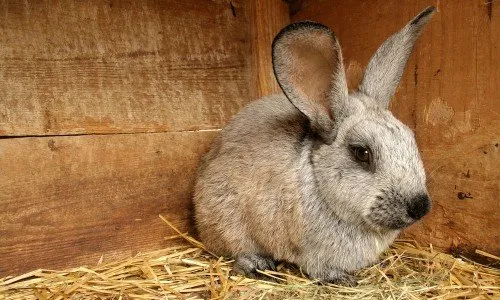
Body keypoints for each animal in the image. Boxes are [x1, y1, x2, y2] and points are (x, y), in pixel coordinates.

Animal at [193, 7, 436, 286]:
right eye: (361, 152)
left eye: (411, 139)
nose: (420, 207)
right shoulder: (309, 252)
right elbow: (317, 268)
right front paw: (343, 279)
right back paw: (257, 264)